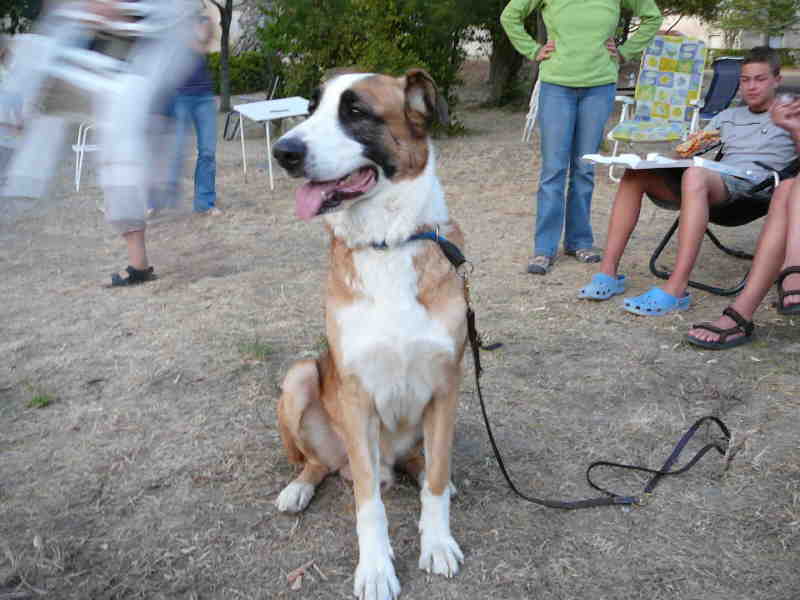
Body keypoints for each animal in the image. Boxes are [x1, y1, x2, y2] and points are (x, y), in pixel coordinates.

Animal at [272, 69, 467, 600]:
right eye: (311, 108)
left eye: (356, 111)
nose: (282, 151)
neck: (387, 244)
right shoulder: (357, 399)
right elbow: (367, 507)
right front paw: (376, 568)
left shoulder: (445, 388)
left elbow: (435, 483)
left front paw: (436, 543)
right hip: (301, 377)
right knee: (320, 464)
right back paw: (299, 486)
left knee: (422, 464)